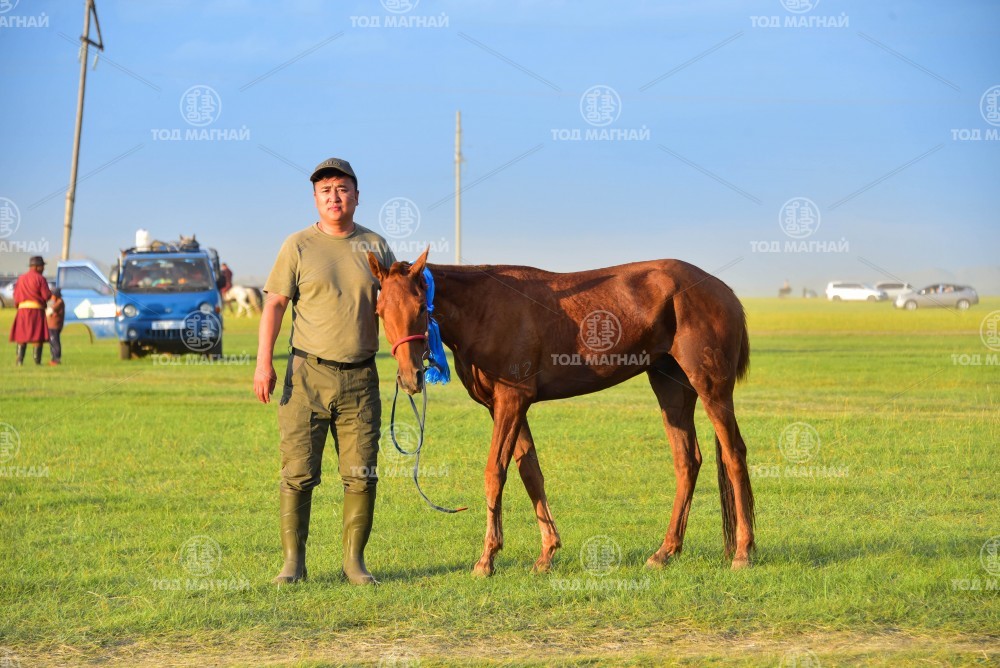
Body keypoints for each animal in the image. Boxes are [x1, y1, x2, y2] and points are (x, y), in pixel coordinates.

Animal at [367, 248, 754, 576]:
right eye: (380, 311)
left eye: (421, 307)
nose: (411, 378)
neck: (484, 308)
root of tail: (725, 292)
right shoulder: (505, 406)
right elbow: (530, 472)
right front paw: (546, 553)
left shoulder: (512, 399)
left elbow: (495, 473)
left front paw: (486, 559)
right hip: (671, 387)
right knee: (687, 460)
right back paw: (665, 551)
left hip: (711, 388)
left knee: (734, 454)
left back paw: (743, 551)